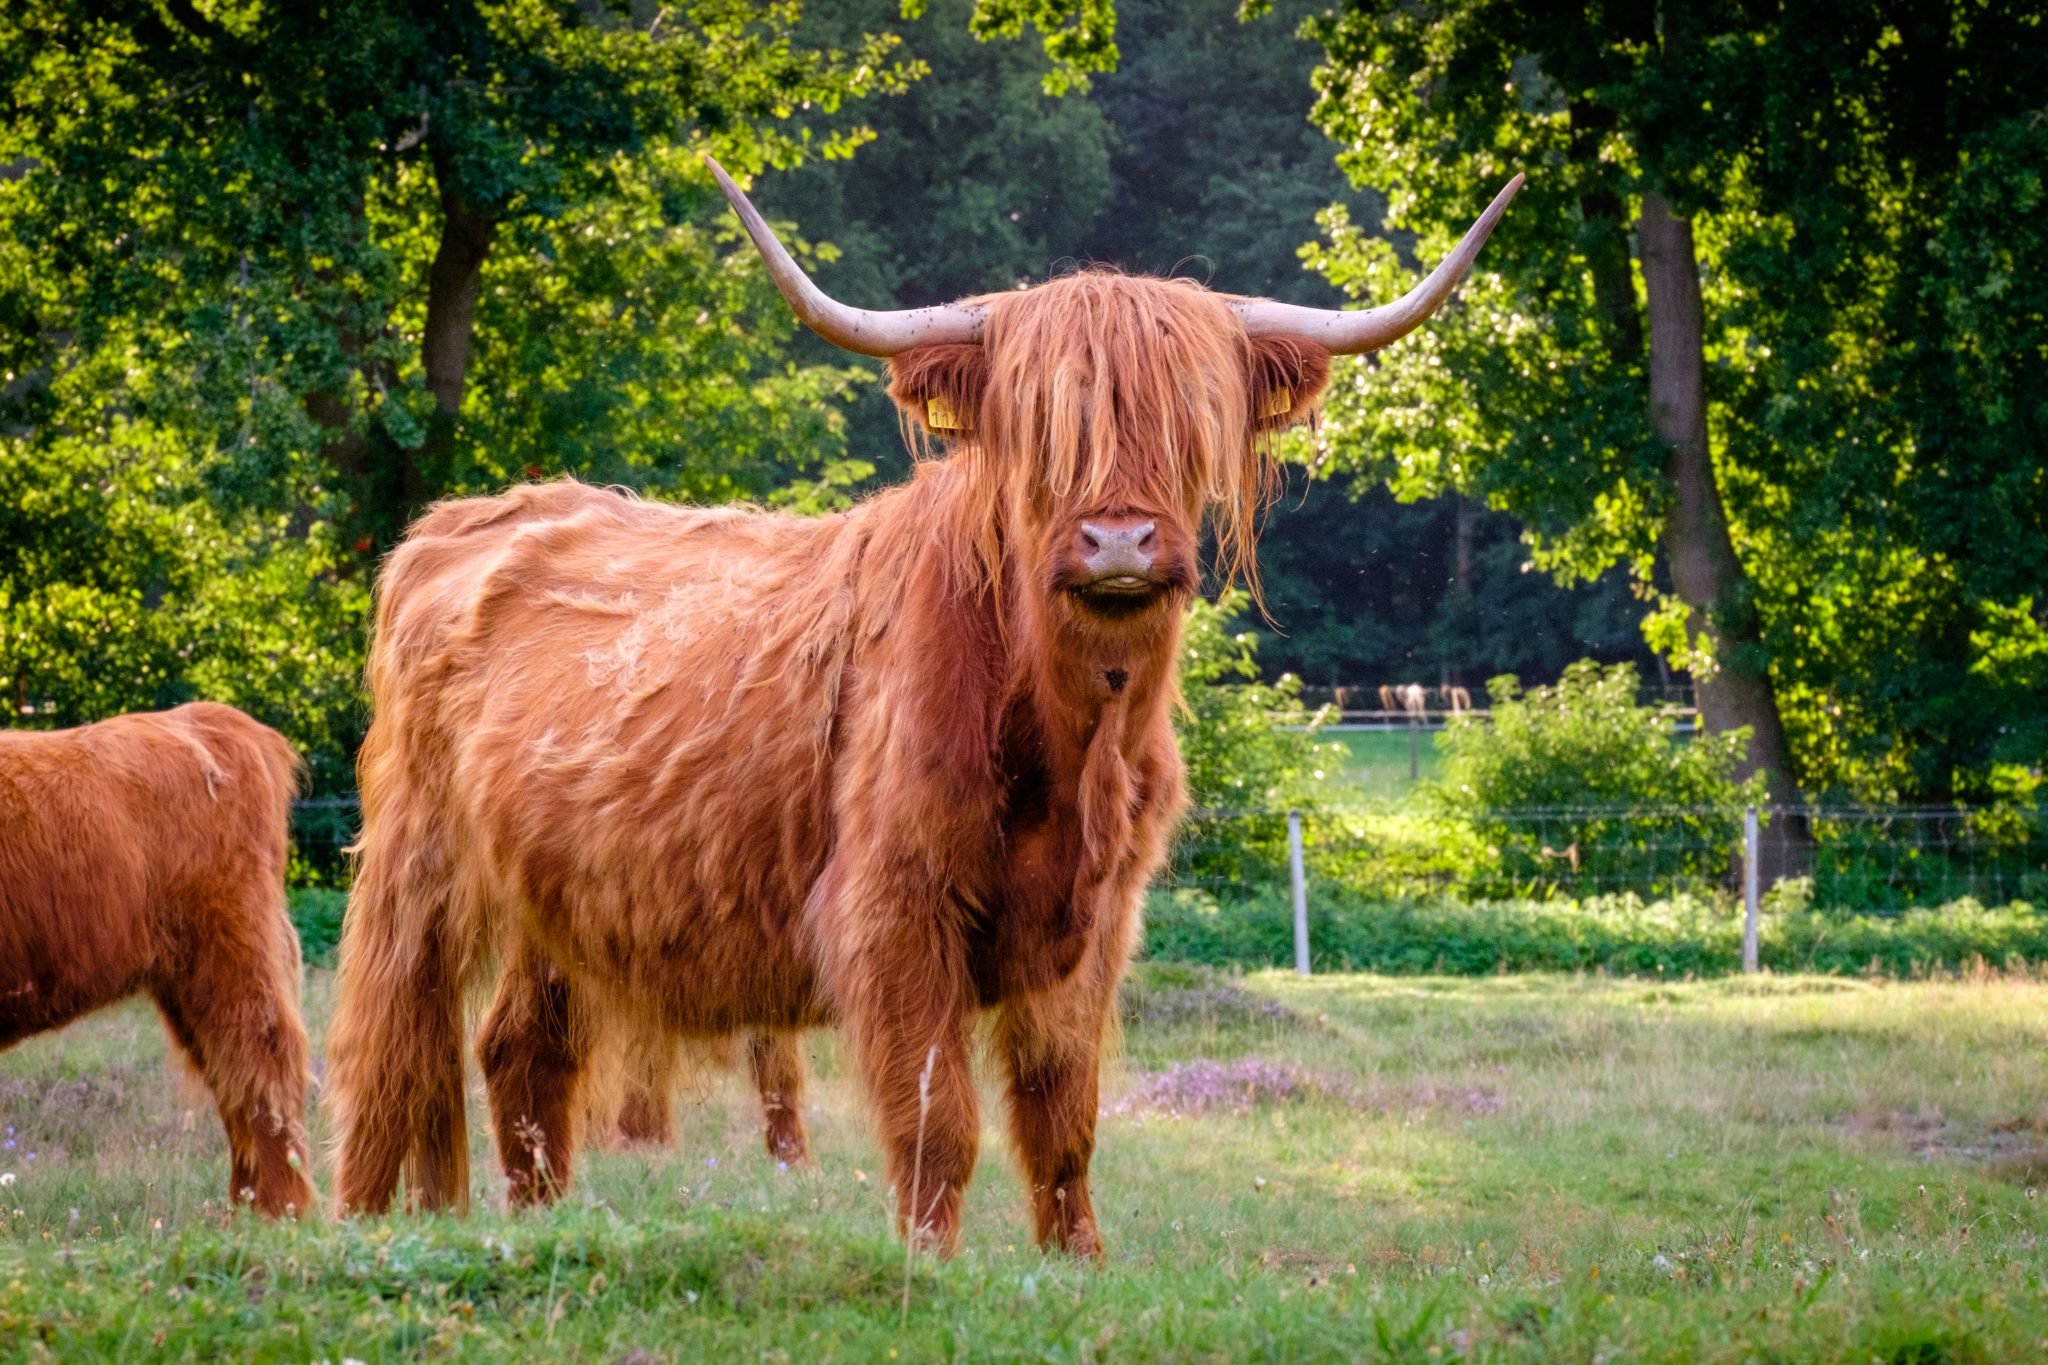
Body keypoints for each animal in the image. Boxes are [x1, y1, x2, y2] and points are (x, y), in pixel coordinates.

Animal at [0, 703, 316, 1217]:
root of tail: (206, 717)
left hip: (229, 944)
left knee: (262, 1053)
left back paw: (276, 1211)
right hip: (187, 975)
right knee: (230, 1070)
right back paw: (244, 1211)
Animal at [324, 156, 1520, 1255]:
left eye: (1192, 422)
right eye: (1038, 430)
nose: (1120, 541)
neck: (1069, 742)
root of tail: (462, 519)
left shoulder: (1095, 925)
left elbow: (1063, 1121)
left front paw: (1073, 1264)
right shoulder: (895, 909)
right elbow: (939, 1123)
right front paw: (929, 1268)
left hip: (563, 893)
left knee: (520, 1051)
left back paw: (541, 1227)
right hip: (417, 863)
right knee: (390, 1049)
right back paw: (361, 1230)